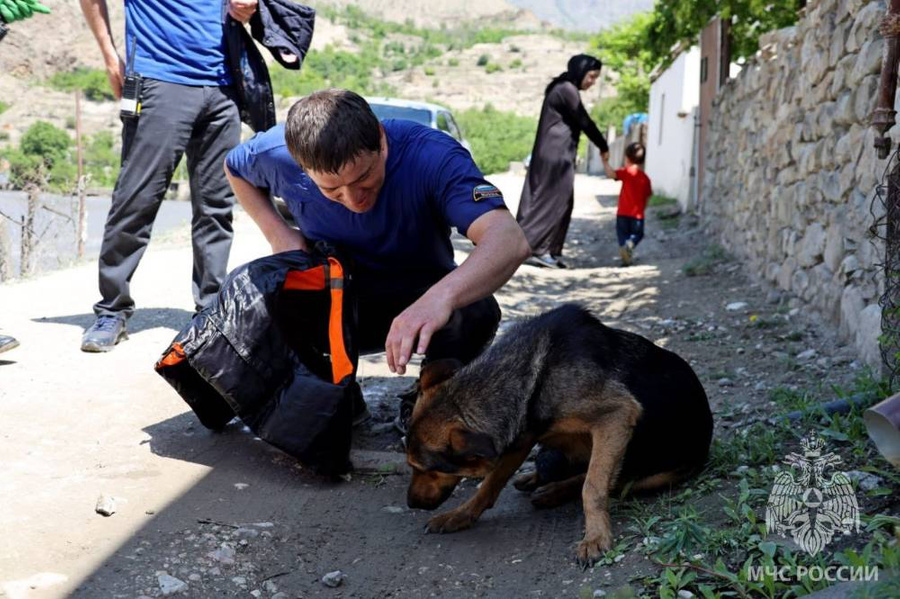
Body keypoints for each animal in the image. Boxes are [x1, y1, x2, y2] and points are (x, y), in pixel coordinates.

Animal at [406, 304, 712, 568]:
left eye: (428, 469)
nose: (411, 504)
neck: (534, 373)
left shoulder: (617, 416)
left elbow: (593, 487)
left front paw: (595, 537)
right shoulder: (521, 437)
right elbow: (490, 485)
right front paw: (461, 515)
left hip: (654, 473)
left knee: (614, 480)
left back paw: (554, 491)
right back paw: (540, 482)